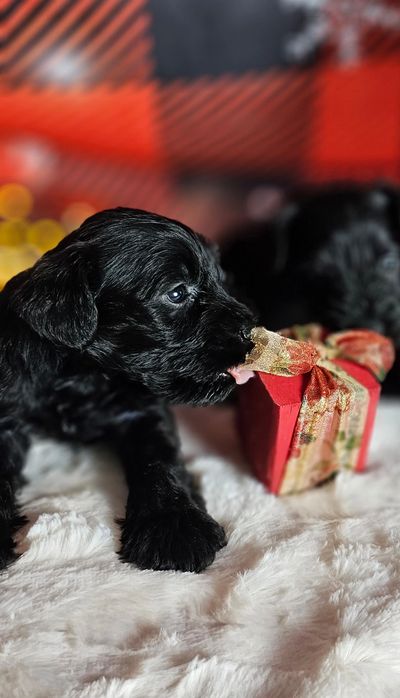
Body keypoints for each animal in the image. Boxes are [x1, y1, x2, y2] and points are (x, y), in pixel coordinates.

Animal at [0, 208, 253, 572]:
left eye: (223, 279)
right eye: (177, 293)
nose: (252, 329)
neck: (87, 375)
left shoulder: (144, 411)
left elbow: (160, 461)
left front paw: (172, 524)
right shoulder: (8, 415)